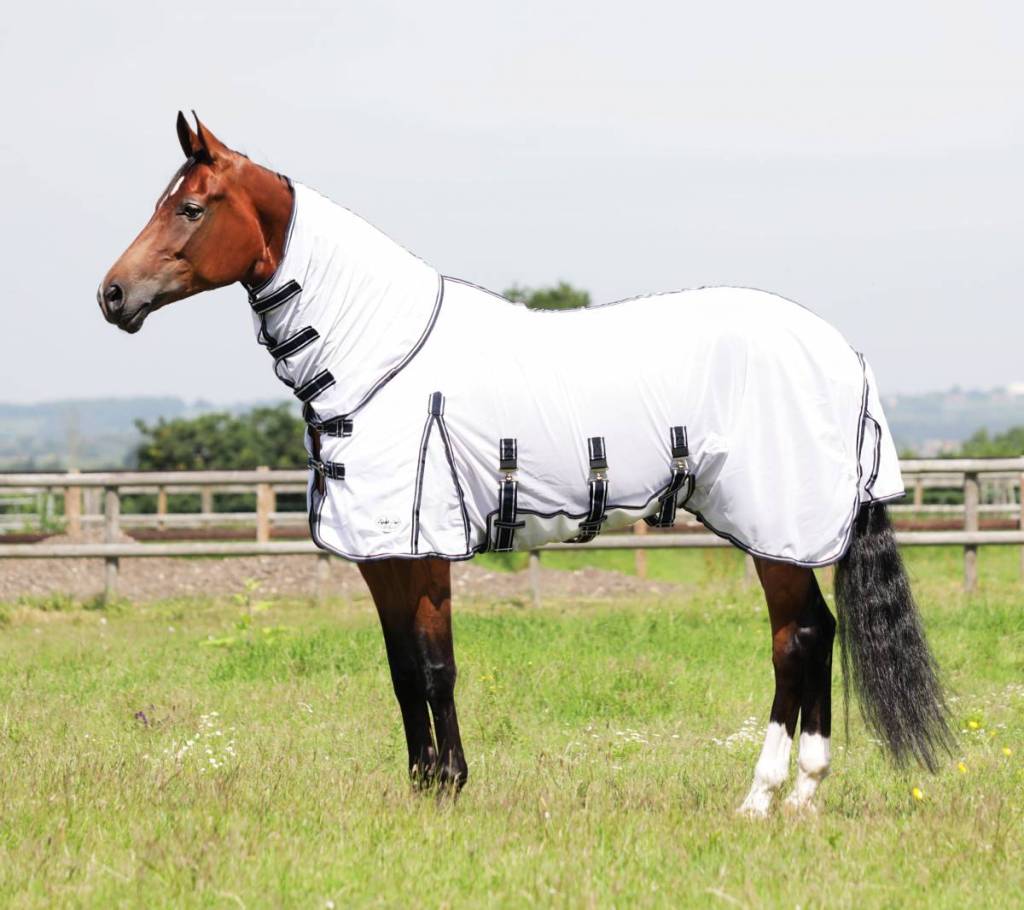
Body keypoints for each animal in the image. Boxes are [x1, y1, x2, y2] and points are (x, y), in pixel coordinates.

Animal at [98, 112, 951, 814]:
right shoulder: (381, 555)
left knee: (797, 639)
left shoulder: (422, 547)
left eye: (191, 207)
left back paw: (763, 796)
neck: (381, 357)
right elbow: (401, 668)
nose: (112, 296)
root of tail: (844, 355)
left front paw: (448, 787)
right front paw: (423, 788)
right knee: (817, 633)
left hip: (776, 526)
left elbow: (435, 666)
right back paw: (802, 797)